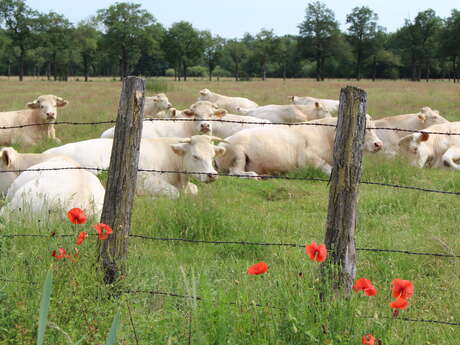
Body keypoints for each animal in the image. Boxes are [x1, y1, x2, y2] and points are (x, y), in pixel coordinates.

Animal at [44, 135, 226, 198]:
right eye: (195, 156)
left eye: (212, 156)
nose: (212, 174)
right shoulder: (146, 181)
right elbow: (173, 194)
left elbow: (194, 190)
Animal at [216, 115, 384, 176]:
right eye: (364, 129)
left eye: (375, 128)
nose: (379, 144)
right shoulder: (308, 159)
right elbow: (328, 170)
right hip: (238, 153)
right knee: (235, 172)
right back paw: (253, 175)